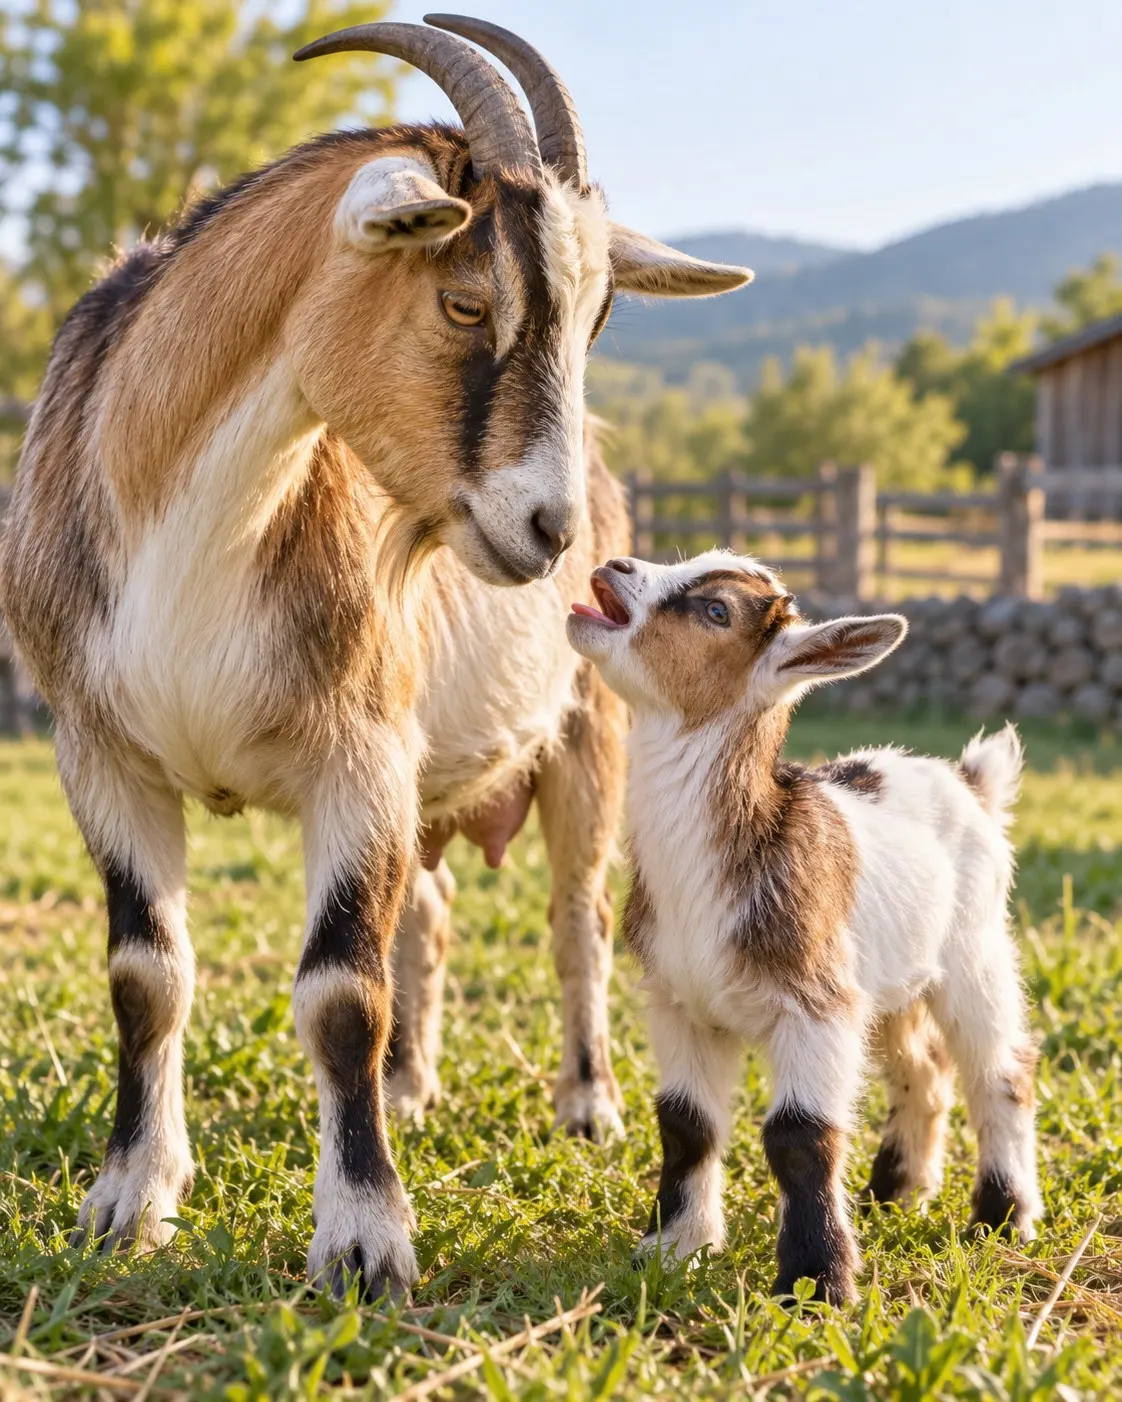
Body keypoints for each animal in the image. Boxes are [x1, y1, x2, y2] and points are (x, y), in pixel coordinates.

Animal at [0, 17, 752, 1302]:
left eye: (596, 321)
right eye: (463, 301)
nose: (552, 533)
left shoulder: (357, 753)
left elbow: (340, 991)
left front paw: (363, 1239)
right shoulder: (100, 752)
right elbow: (148, 974)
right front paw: (130, 1200)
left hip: (585, 741)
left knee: (577, 917)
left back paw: (586, 1104)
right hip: (427, 774)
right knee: (433, 914)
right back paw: (407, 1086)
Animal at [567, 551, 1041, 1305]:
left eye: (716, 610)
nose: (615, 564)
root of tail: (970, 782)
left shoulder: (814, 1007)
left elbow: (799, 1135)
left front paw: (816, 1283)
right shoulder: (681, 1004)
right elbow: (686, 1125)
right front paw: (672, 1250)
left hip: (975, 948)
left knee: (999, 1069)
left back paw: (1001, 1218)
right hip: (889, 983)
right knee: (923, 1069)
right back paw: (893, 1192)